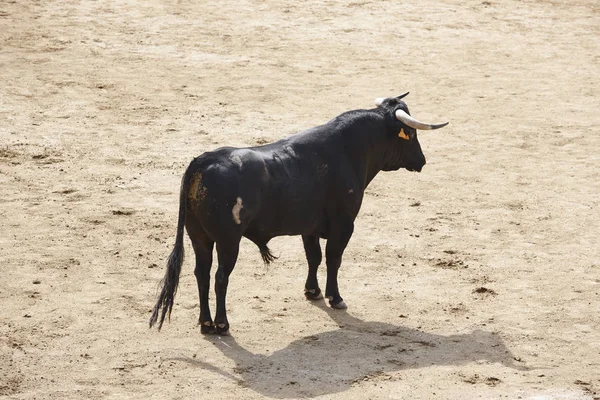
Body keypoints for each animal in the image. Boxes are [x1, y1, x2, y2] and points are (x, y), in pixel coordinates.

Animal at [150, 94, 448, 334]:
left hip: (198, 236)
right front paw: (335, 298)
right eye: (411, 135)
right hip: (227, 241)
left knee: (201, 273)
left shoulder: (310, 226)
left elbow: (313, 257)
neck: (350, 149)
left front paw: (312, 291)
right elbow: (333, 259)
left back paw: (205, 323)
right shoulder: (344, 224)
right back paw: (222, 324)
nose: (422, 160)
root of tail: (202, 162)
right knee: (220, 277)